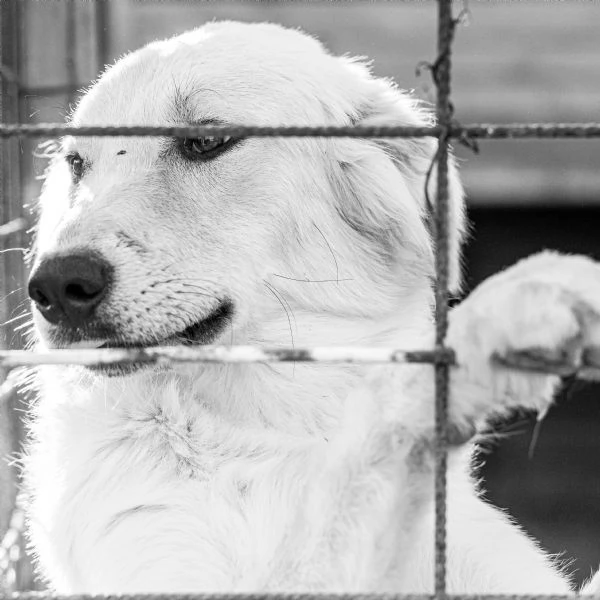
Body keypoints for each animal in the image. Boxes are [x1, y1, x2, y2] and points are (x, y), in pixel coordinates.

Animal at [23, 22, 600, 596]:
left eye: (206, 140)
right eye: (77, 164)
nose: (55, 286)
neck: (277, 420)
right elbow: (370, 451)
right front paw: (497, 323)